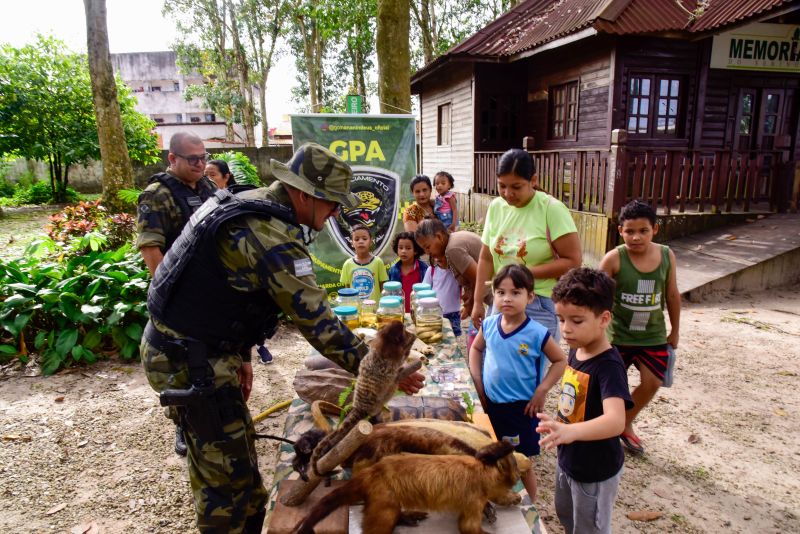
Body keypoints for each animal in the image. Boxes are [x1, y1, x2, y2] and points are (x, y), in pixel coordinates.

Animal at [290, 440, 520, 534]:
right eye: (516, 470)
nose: (518, 497)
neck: (483, 473)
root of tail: (369, 474)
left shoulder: (481, 460)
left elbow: (485, 452)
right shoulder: (475, 499)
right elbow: (468, 528)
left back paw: (407, 516)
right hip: (384, 500)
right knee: (379, 525)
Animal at [310, 320, 416, 480]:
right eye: (403, 331)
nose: (404, 327)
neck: (385, 346)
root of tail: (359, 406)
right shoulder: (391, 360)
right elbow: (398, 363)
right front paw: (409, 346)